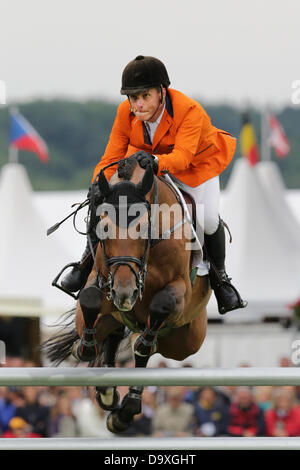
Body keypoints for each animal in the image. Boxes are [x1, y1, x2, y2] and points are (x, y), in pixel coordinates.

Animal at [45, 154, 212, 434]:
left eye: (144, 227)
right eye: (102, 226)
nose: (125, 293)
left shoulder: (181, 289)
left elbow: (161, 305)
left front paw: (143, 344)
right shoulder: (100, 281)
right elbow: (89, 299)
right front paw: (84, 348)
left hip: (186, 340)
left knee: (149, 346)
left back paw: (128, 404)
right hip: (116, 318)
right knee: (113, 332)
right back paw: (107, 389)